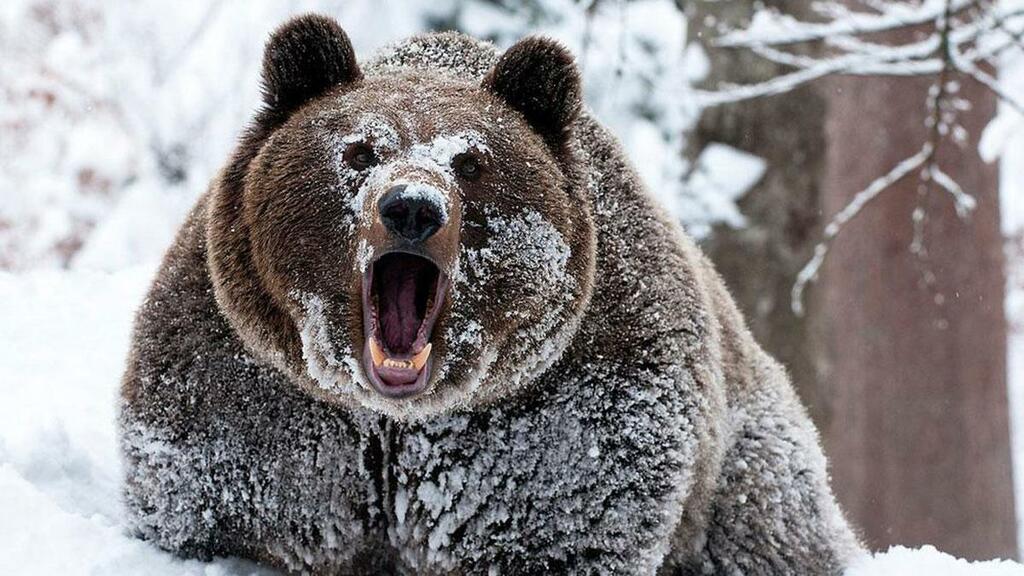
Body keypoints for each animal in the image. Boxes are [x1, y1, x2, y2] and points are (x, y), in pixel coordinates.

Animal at [119, 14, 863, 575]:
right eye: (359, 150)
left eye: (471, 161)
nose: (411, 207)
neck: (396, 421)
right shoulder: (255, 392)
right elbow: (225, 503)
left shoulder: (562, 410)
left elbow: (559, 518)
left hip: (749, 472)